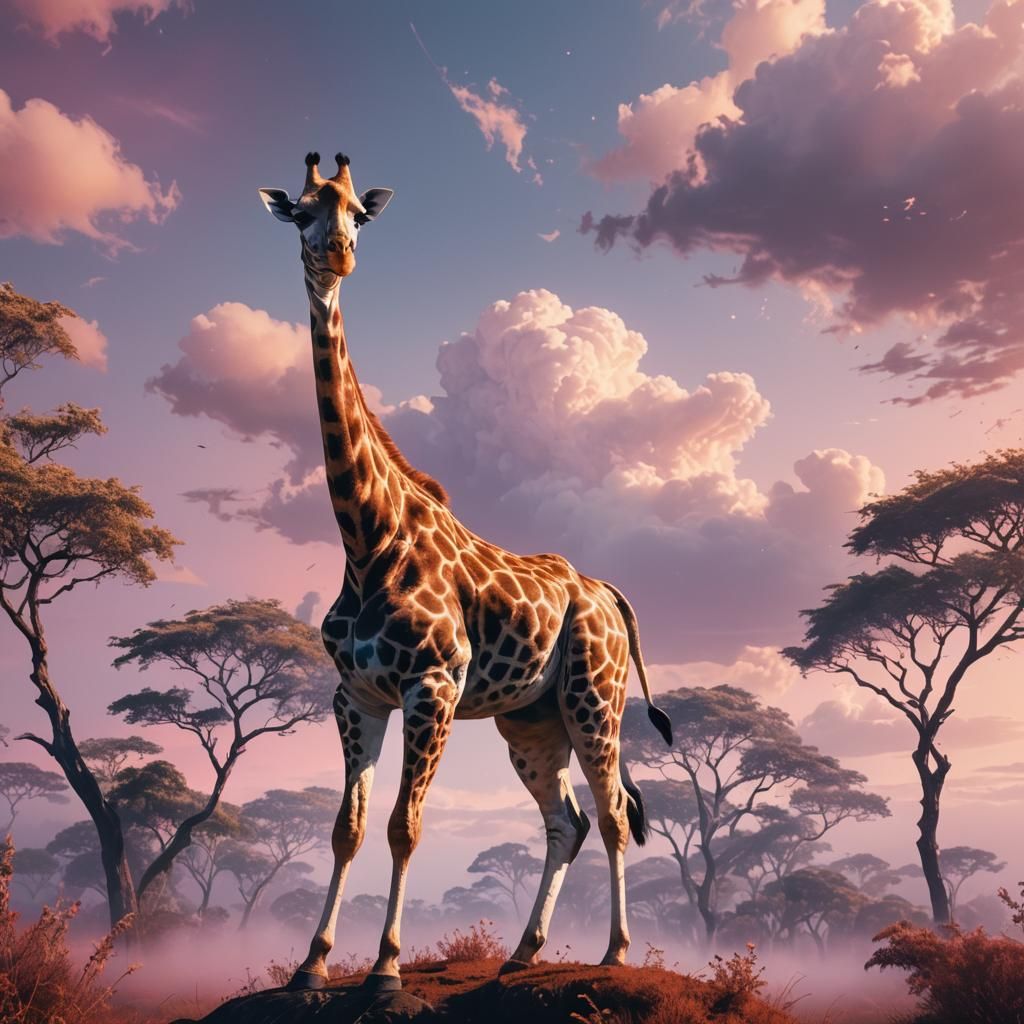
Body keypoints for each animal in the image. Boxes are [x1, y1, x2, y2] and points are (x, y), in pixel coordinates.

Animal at [258, 152, 673, 992]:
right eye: (302, 213)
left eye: (359, 213)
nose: (337, 254)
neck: (367, 538)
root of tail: (608, 594)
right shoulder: (355, 695)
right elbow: (347, 827)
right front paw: (311, 965)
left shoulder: (434, 686)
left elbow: (403, 826)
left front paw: (385, 967)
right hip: (531, 719)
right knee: (567, 821)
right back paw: (522, 951)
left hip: (594, 699)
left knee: (614, 815)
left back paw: (614, 951)